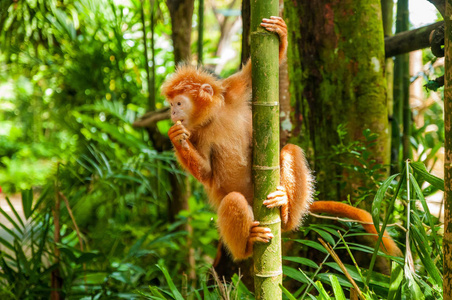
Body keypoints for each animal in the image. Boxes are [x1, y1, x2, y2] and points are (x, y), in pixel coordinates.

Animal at [162, 17, 402, 260]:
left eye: (179, 103)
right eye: (171, 104)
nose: (172, 113)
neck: (215, 116)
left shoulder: (233, 91)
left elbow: (253, 74)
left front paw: (281, 32)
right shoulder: (197, 133)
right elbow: (206, 173)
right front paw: (176, 138)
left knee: (290, 151)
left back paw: (285, 211)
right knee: (233, 201)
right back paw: (249, 244)